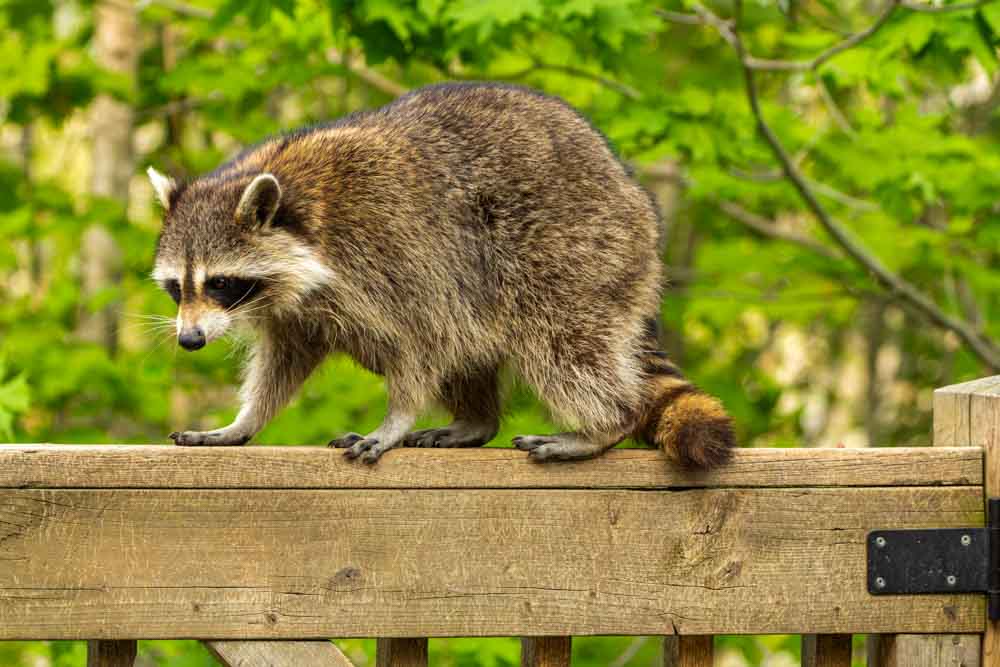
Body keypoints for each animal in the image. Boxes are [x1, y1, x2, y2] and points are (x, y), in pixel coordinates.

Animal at [149, 82, 735, 467]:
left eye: (220, 282)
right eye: (177, 288)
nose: (190, 340)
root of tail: (630, 192)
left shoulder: (394, 250)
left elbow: (420, 342)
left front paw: (396, 418)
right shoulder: (295, 310)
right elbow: (284, 363)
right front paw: (243, 423)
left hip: (576, 251)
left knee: (561, 343)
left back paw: (604, 423)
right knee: (473, 344)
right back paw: (476, 420)